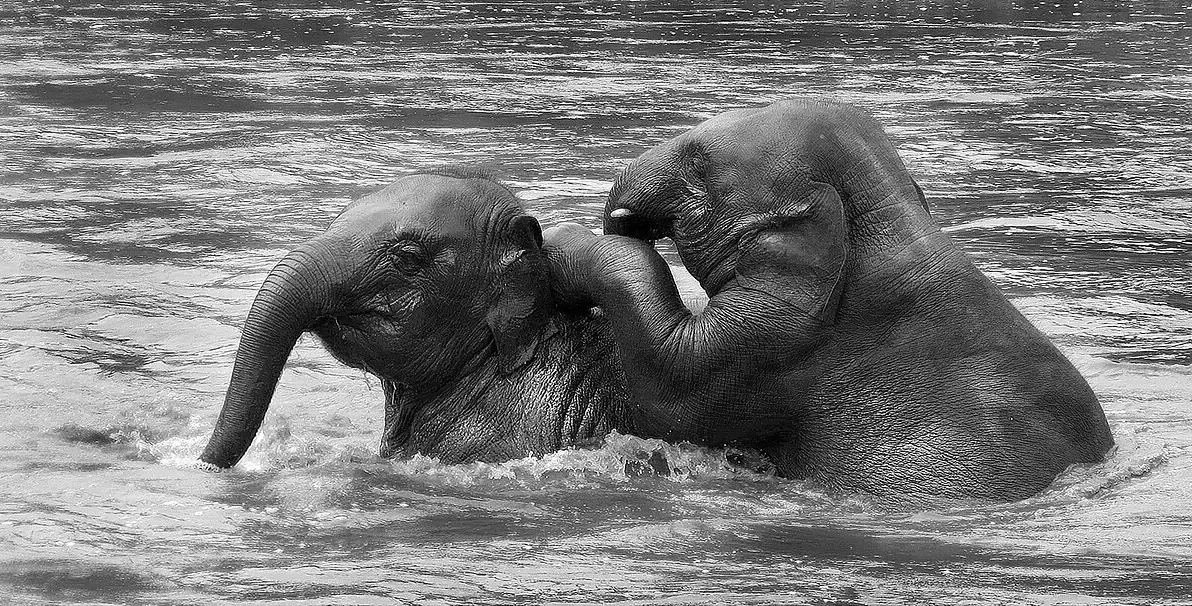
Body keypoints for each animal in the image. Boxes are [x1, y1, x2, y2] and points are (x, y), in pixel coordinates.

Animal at [543, 99, 1114, 503]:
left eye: (698, 163)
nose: (626, 216)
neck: (894, 220)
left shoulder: (783, 342)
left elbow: (669, 393)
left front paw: (562, 242)